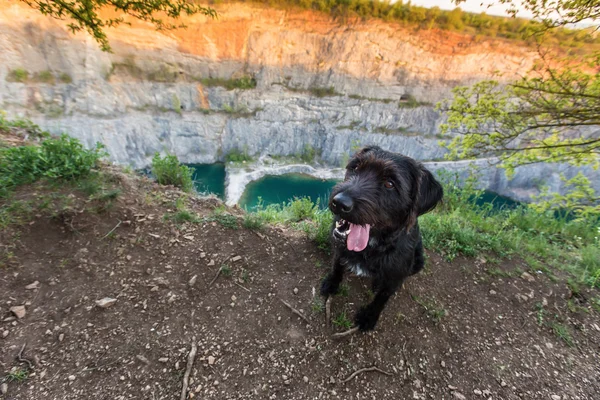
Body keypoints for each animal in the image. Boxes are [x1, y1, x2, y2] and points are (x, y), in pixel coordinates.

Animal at [322, 146, 442, 332]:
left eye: (389, 184)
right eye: (355, 167)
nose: (339, 203)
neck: (372, 246)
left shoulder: (395, 276)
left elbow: (382, 298)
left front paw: (369, 316)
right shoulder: (339, 248)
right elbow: (337, 265)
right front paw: (331, 282)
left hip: (418, 261)